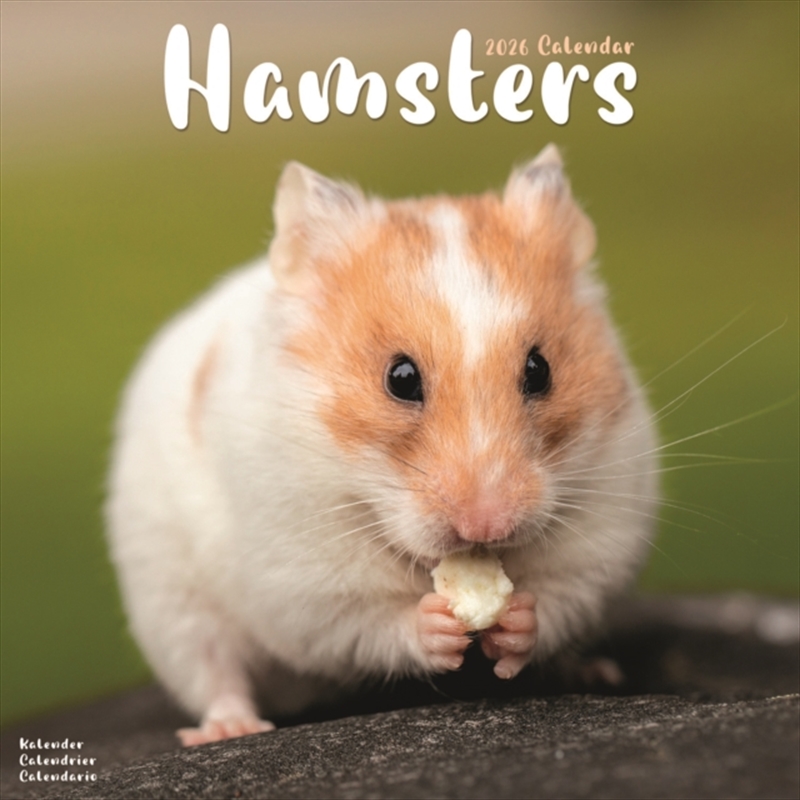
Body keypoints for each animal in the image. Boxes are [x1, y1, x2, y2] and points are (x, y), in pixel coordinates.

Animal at [106, 144, 658, 746]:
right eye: (400, 378)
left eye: (540, 370)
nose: (487, 526)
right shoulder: (304, 582)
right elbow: (371, 623)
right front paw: (438, 624)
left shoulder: (600, 535)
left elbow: (557, 599)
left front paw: (514, 622)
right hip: (171, 599)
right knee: (213, 669)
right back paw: (229, 728)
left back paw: (593, 671)